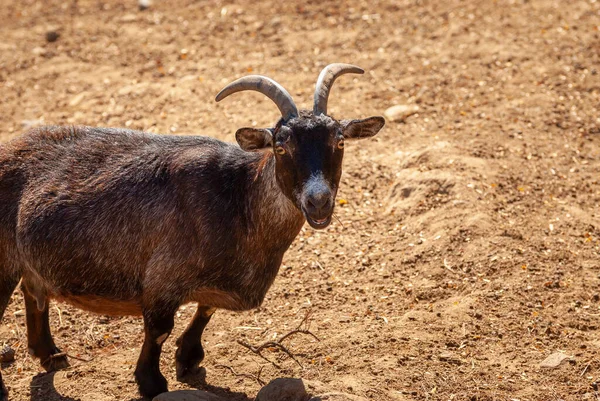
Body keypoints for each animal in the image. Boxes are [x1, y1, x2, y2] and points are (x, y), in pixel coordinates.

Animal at [0, 64, 384, 398]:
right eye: (280, 145)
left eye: (340, 142)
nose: (318, 201)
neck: (238, 199)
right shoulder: (162, 279)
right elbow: (158, 330)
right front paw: (151, 383)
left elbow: (205, 311)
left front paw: (188, 360)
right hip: (3, 262)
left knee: (34, 291)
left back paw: (50, 354)